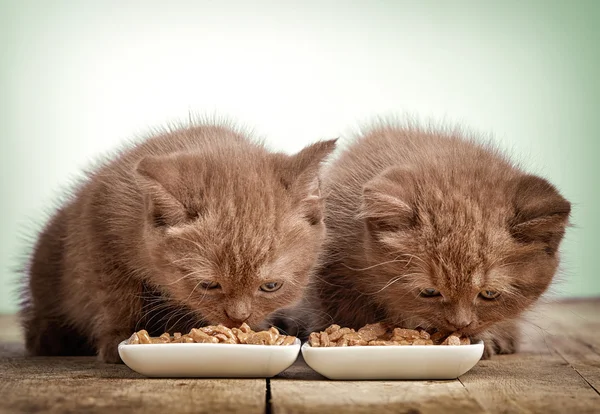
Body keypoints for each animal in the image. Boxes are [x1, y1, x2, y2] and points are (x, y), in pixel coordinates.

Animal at [19, 122, 338, 362]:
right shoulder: (99, 224)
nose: (238, 318)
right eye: (208, 284)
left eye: (271, 286)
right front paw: (118, 338)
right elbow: (116, 296)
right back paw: (49, 336)